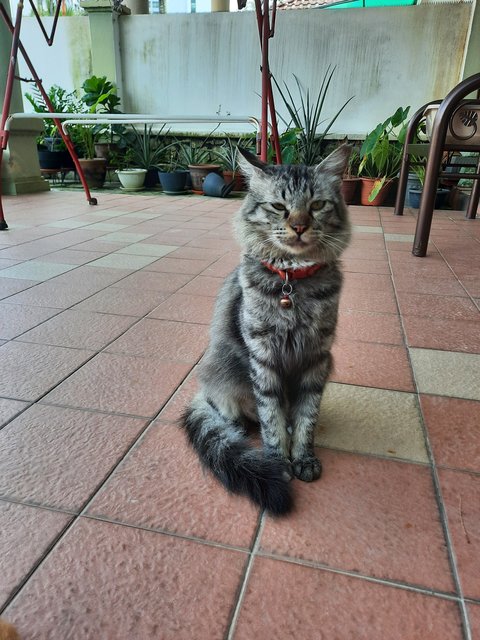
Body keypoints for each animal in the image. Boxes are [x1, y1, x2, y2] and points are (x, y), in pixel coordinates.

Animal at [182, 145, 350, 516]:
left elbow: (305, 418)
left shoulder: (317, 359)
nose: (299, 226)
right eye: (278, 207)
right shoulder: (263, 357)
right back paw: (236, 429)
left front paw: (303, 458)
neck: (292, 282)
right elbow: (271, 417)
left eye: (317, 205)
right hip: (221, 376)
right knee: (229, 414)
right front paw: (279, 462)